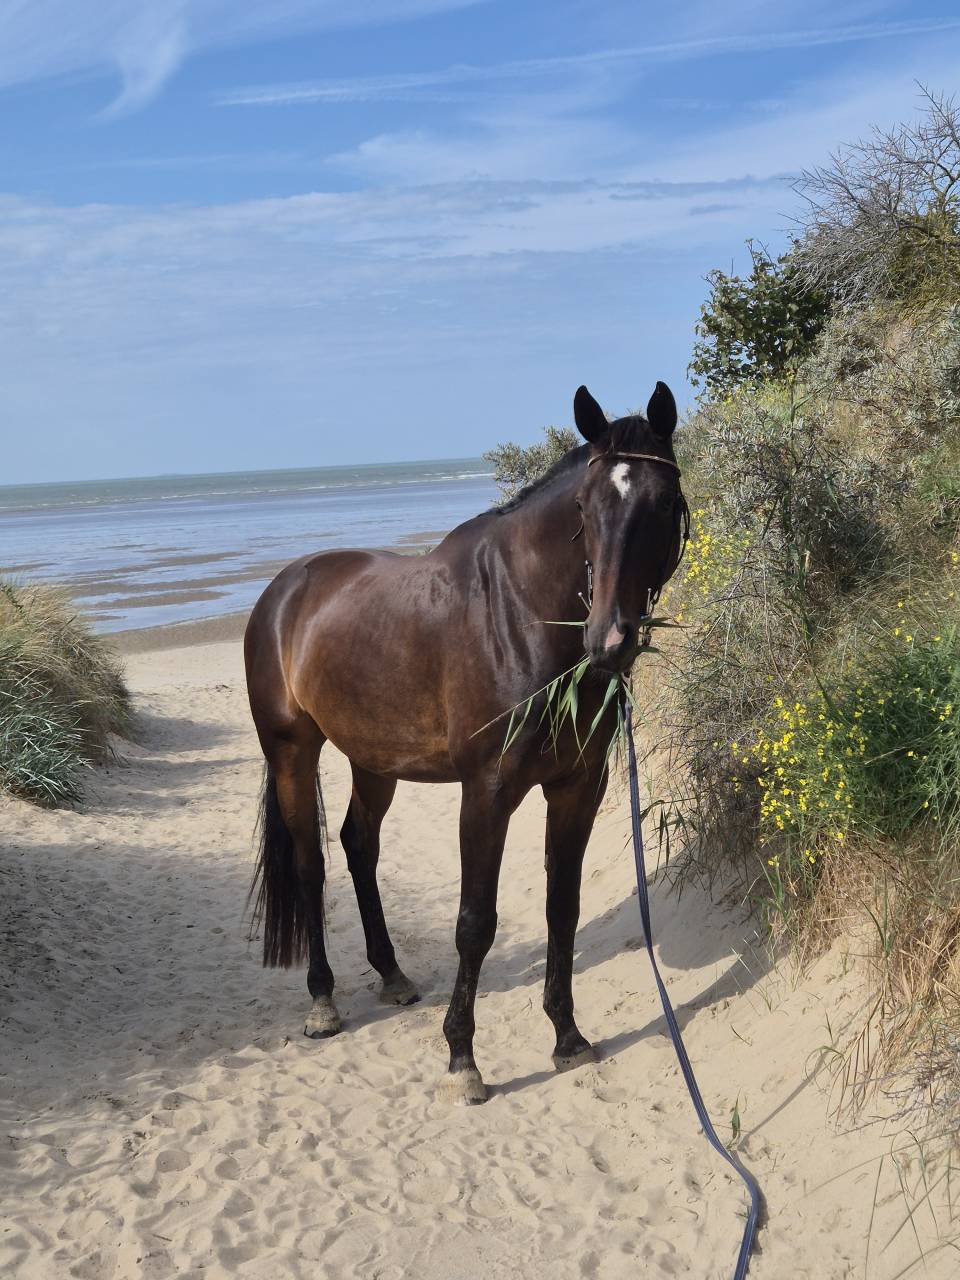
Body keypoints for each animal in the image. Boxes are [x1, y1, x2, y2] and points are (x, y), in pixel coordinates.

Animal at [244, 382, 687, 1104]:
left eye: (665, 503)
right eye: (585, 509)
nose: (610, 641)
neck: (523, 614)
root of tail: (284, 589)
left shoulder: (578, 788)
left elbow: (562, 907)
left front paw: (567, 1037)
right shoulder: (488, 791)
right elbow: (475, 922)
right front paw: (463, 1058)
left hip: (375, 761)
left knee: (358, 845)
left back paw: (392, 975)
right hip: (291, 752)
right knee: (312, 864)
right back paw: (322, 1001)